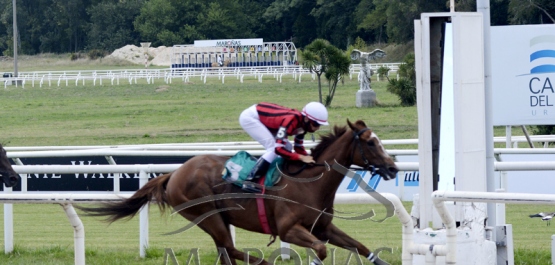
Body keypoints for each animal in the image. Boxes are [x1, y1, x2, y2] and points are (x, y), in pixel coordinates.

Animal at [79, 120, 400, 264]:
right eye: (370, 143)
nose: (394, 167)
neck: (310, 182)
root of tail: (174, 174)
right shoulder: (288, 229)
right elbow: (319, 250)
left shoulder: (323, 227)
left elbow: (361, 247)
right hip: (206, 213)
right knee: (229, 248)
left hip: (215, 219)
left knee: (225, 251)